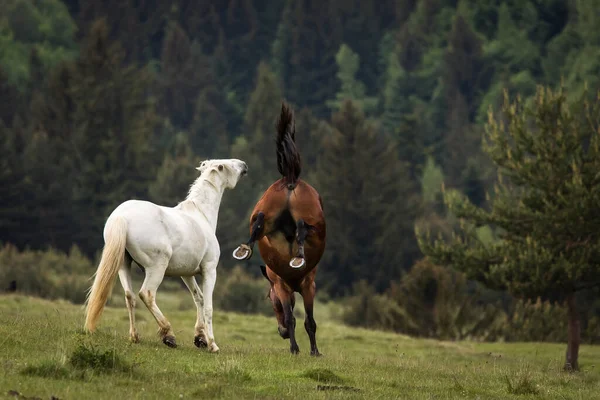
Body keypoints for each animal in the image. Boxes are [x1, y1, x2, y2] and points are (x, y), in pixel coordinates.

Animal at [83, 158, 247, 352]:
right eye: (226, 165)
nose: (243, 165)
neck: (201, 215)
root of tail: (122, 217)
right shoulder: (209, 270)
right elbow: (208, 306)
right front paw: (212, 344)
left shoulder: (186, 274)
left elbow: (198, 298)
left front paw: (200, 338)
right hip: (156, 268)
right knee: (146, 294)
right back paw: (168, 335)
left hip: (124, 265)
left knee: (130, 296)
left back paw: (134, 337)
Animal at [234, 101, 328, 354]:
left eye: (270, 300)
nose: (281, 333)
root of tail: (289, 179)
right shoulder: (297, 286)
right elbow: (301, 319)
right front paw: (304, 350)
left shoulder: (302, 286)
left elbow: (301, 319)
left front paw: (307, 349)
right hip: (312, 221)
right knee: (303, 227)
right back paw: (298, 254)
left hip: (266, 207)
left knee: (260, 221)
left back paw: (247, 249)